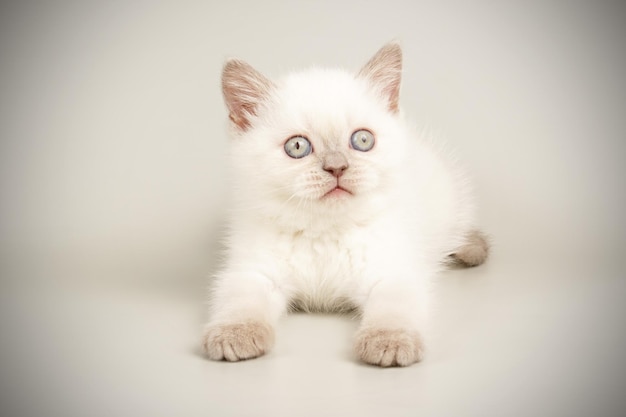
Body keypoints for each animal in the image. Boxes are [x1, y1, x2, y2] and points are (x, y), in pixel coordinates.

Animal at [202, 42, 486, 366]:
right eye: (297, 146)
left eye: (362, 140)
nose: (337, 167)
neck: (325, 232)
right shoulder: (252, 272)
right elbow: (240, 301)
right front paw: (234, 333)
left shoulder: (393, 272)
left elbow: (393, 307)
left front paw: (389, 340)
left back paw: (472, 248)